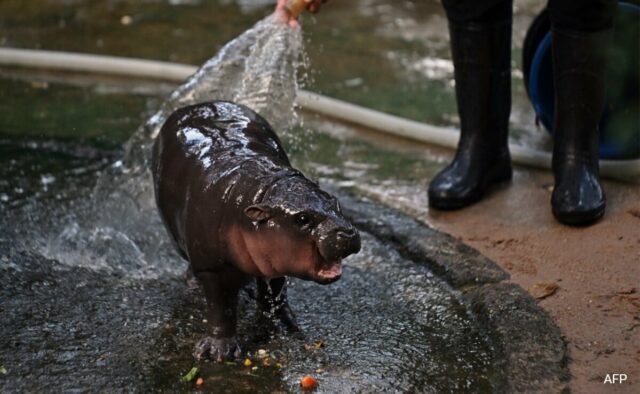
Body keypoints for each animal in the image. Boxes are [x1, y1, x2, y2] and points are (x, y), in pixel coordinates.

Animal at [151, 101, 360, 360]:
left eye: (335, 201)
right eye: (303, 218)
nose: (348, 233)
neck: (260, 191)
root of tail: (197, 105)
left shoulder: (275, 258)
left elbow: (276, 291)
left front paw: (283, 326)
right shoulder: (212, 267)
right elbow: (221, 307)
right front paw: (219, 352)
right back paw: (193, 283)